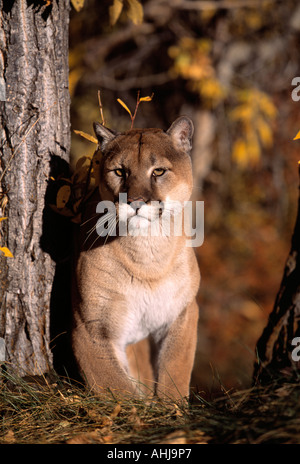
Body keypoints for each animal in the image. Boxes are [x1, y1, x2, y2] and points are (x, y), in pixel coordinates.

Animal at [71, 116, 200, 398]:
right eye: (120, 171)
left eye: (158, 171)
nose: (136, 202)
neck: (147, 254)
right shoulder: (90, 327)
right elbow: (118, 388)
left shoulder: (184, 311)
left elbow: (175, 371)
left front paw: (171, 407)